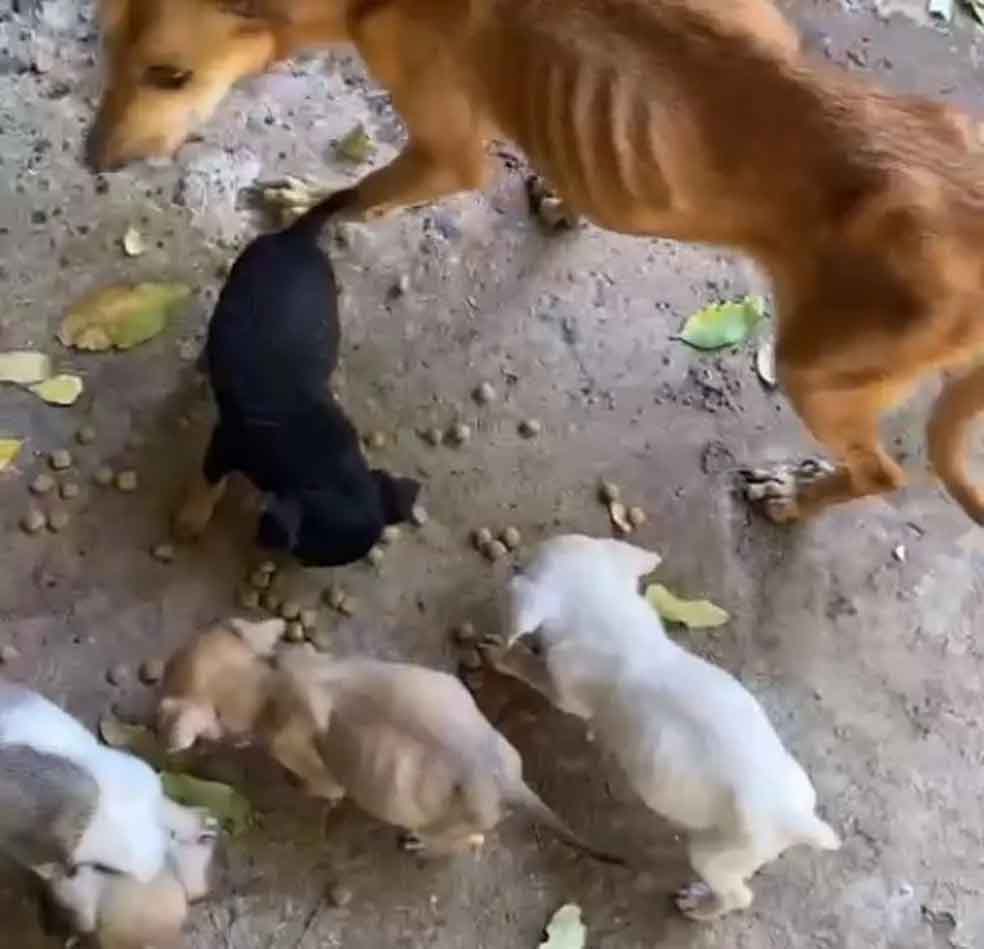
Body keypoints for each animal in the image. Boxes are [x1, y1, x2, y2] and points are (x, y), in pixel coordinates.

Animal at [88, 0, 984, 524]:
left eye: (171, 74)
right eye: (103, 42)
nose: (93, 160)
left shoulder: (450, 154)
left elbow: (350, 196)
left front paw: (304, 200)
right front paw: (566, 197)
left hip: (816, 368)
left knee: (885, 474)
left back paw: (795, 499)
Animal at [160, 616, 624, 868]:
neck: (267, 681)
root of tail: (507, 782)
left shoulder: (316, 771)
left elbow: (318, 785)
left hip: (450, 822)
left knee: (469, 841)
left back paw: (427, 844)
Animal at [175, 189, 420, 568]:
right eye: (306, 555)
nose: (266, 547)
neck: (320, 460)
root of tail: (296, 237)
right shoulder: (224, 443)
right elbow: (208, 483)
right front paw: (191, 521)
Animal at [480, 536, 840, 924]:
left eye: (522, 566)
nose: (507, 557)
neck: (606, 609)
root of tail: (797, 819)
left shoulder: (564, 690)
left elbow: (534, 670)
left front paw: (503, 654)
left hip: (716, 854)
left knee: (738, 895)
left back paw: (699, 905)